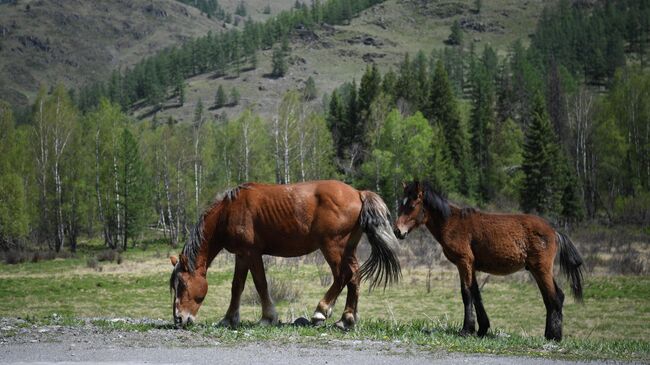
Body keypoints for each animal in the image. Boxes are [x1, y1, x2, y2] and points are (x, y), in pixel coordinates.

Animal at [167, 179, 400, 330]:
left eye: (183, 285)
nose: (178, 319)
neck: (228, 211)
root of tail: (359, 193)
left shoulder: (251, 253)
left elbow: (260, 284)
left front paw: (267, 318)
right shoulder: (241, 256)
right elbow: (237, 287)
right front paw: (229, 319)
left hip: (333, 248)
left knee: (343, 276)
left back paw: (321, 311)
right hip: (347, 250)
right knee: (355, 277)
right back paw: (346, 319)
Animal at [392, 181, 584, 342]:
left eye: (412, 205)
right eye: (401, 204)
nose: (397, 231)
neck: (452, 222)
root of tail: (554, 231)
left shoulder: (464, 262)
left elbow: (466, 293)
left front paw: (466, 330)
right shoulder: (471, 266)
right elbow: (476, 293)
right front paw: (482, 329)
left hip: (541, 269)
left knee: (554, 298)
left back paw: (554, 337)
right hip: (537, 270)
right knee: (552, 297)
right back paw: (549, 334)